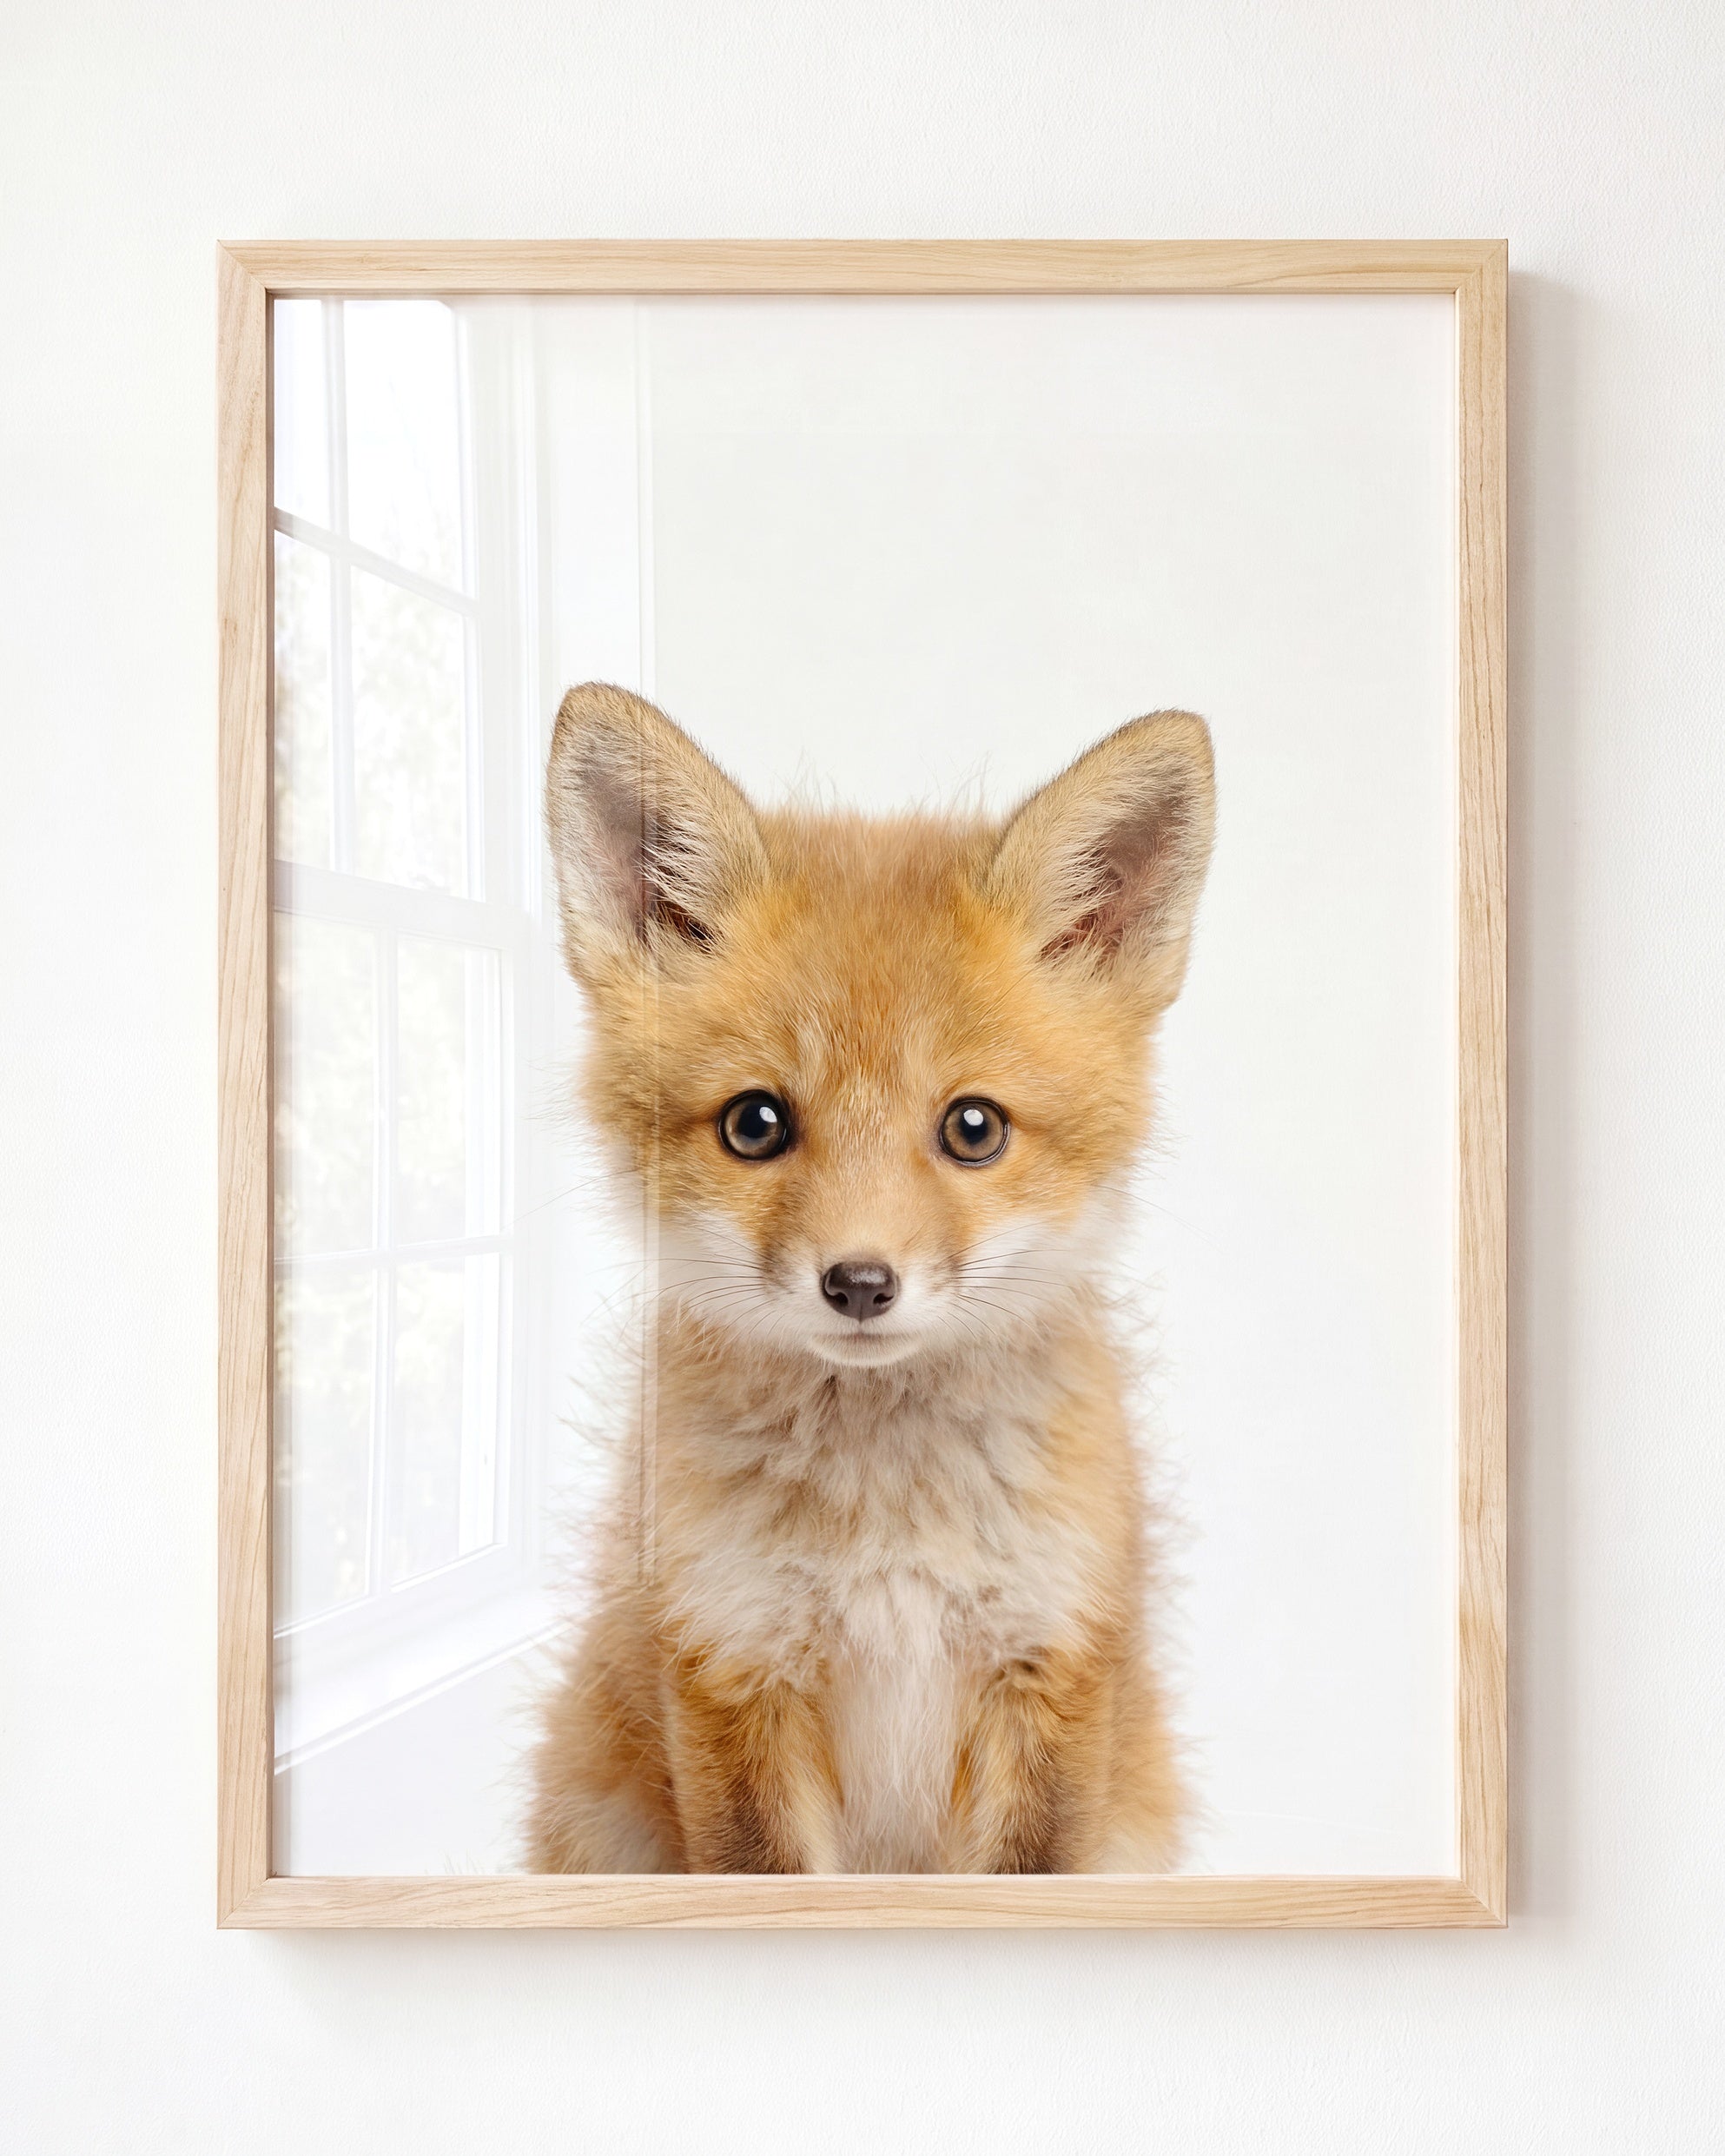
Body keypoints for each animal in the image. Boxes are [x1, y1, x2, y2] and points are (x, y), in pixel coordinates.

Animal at [524, 682, 1215, 1875]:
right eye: (755, 1123)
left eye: (974, 1128)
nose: (858, 1283)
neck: (888, 1531)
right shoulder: (731, 1662)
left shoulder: (1049, 1666)